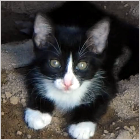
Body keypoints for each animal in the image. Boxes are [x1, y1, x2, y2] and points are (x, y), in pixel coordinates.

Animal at [24, 1, 139, 139]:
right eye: (54, 63)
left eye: (82, 65)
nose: (67, 83)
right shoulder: (34, 66)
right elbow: (34, 83)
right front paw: (38, 114)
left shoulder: (107, 80)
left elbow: (100, 99)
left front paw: (81, 125)